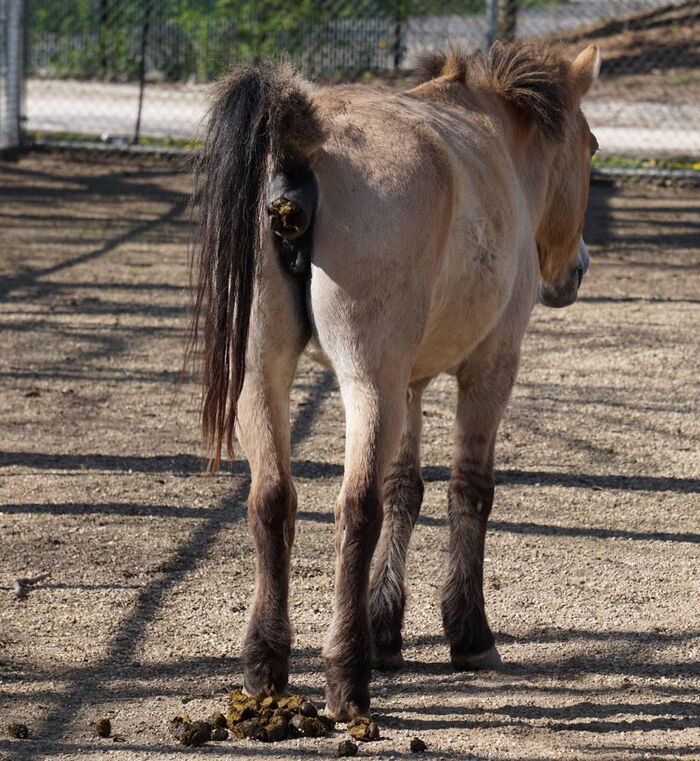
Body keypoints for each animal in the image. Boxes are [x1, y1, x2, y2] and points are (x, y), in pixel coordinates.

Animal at [189, 40, 600, 720]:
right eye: (591, 148)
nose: (578, 270)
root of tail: (303, 135)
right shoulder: (491, 365)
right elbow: (469, 489)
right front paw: (468, 634)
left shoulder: (411, 380)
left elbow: (405, 488)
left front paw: (387, 626)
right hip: (367, 382)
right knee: (356, 509)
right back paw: (347, 675)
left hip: (262, 376)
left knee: (272, 499)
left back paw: (266, 668)